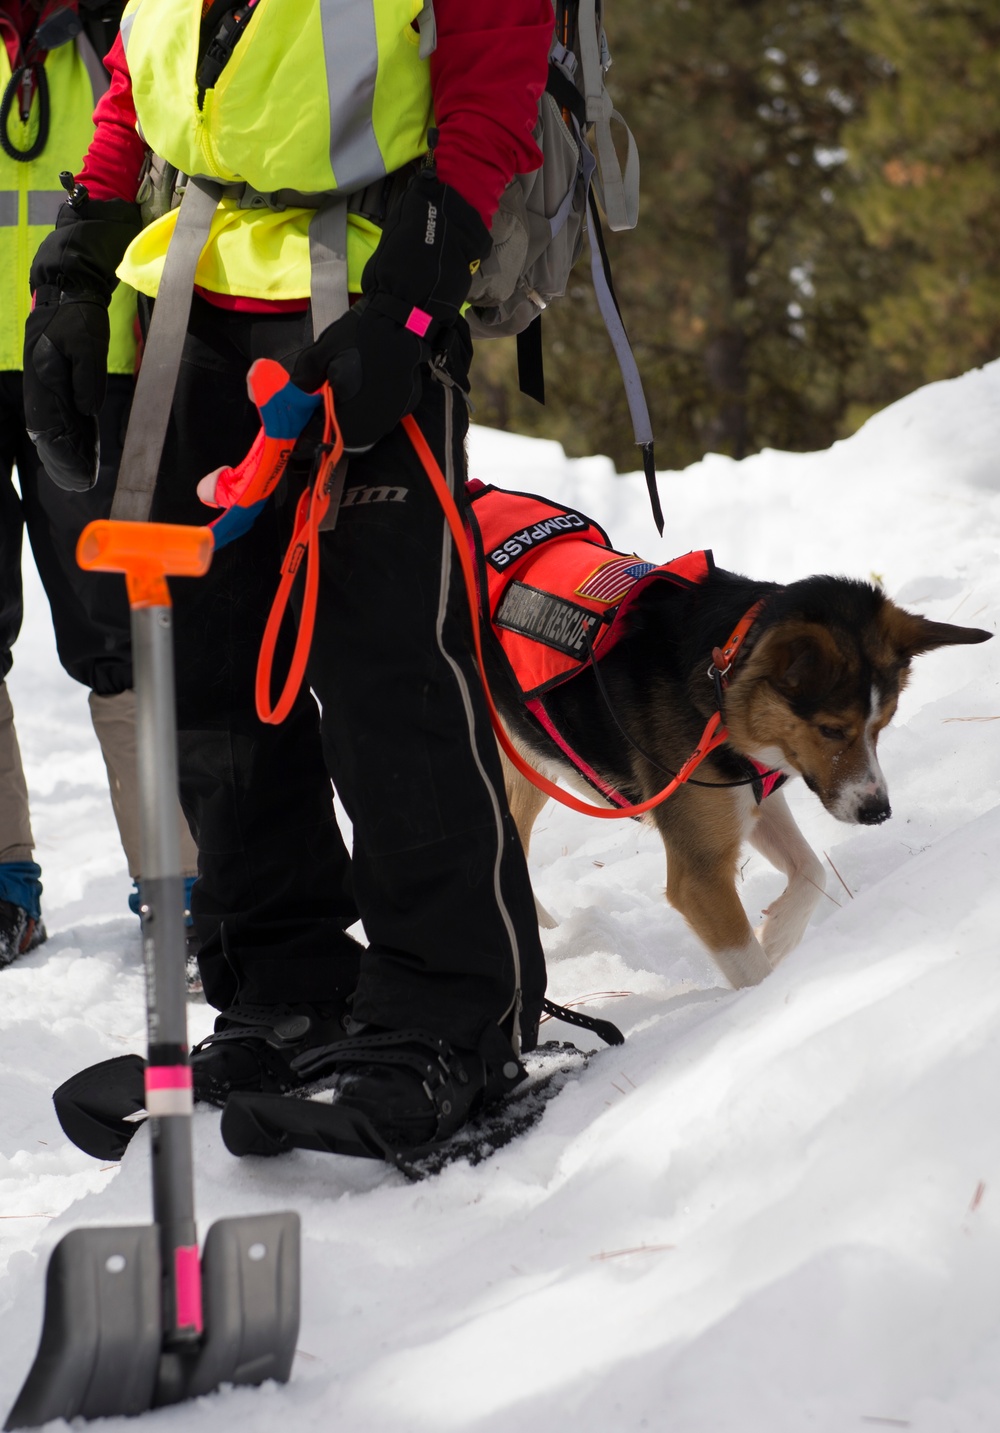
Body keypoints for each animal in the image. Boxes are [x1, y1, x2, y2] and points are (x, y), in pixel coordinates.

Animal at [478, 498, 991, 980]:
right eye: (831, 729)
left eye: (882, 724)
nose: (878, 812)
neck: (716, 684)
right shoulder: (700, 873)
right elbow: (749, 968)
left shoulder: (750, 794)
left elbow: (811, 869)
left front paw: (778, 934)